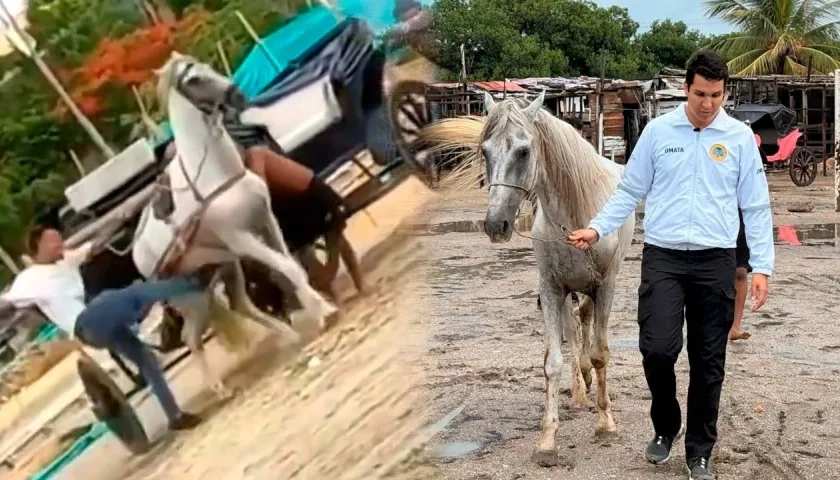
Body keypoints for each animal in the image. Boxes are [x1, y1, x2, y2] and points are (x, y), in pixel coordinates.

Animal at [421, 90, 635, 467]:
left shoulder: (605, 286)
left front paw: (606, 425)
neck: (576, 216)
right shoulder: (551, 289)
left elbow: (600, 354)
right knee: (576, 325)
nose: (496, 225)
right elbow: (552, 362)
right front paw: (547, 441)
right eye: (485, 151)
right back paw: (579, 391)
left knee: (586, 324)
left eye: (523, 151)